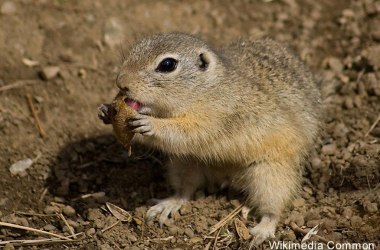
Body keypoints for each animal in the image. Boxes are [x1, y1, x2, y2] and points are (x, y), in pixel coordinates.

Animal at [98, 32, 320, 245]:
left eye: (167, 65)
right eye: (135, 48)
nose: (121, 82)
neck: (204, 89)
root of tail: (226, 177)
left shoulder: (213, 117)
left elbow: (185, 132)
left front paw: (150, 124)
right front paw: (105, 111)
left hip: (270, 174)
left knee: (274, 208)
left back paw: (261, 231)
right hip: (184, 165)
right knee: (185, 190)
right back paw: (168, 205)